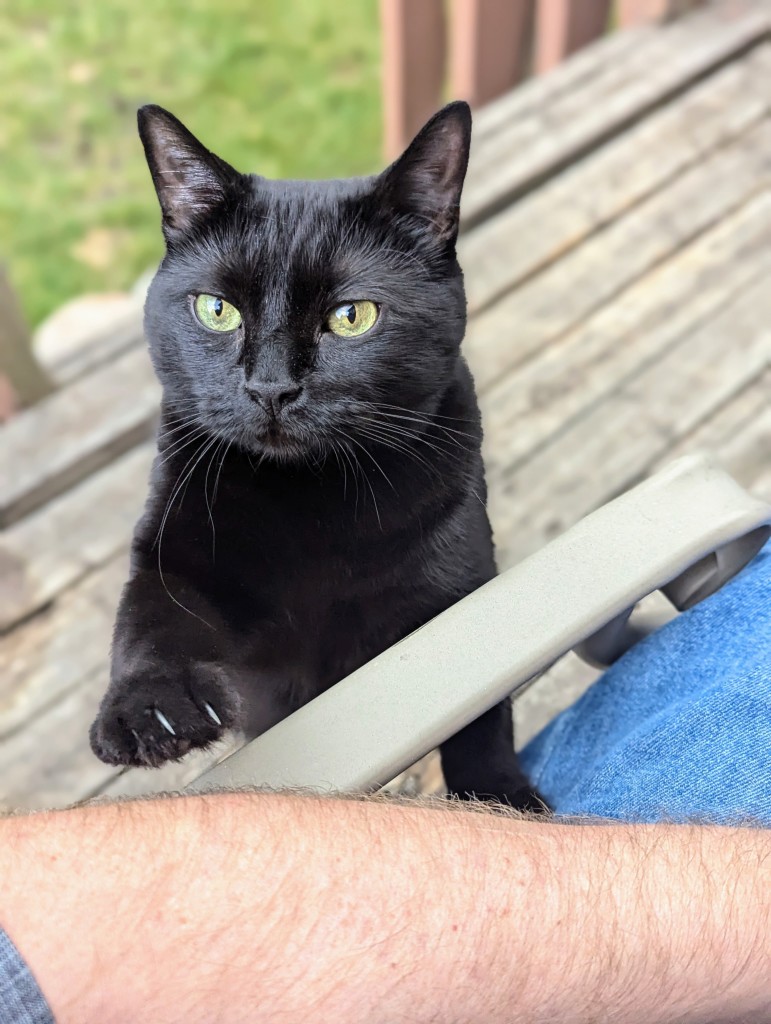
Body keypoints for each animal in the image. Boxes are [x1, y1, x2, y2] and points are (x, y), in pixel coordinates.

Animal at [88, 101, 540, 806]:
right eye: (216, 310)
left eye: (352, 317)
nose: (271, 387)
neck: (310, 503)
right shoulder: (174, 550)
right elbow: (148, 623)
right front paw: (148, 710)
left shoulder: (461, 587)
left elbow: (481, 713)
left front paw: (500, 799)